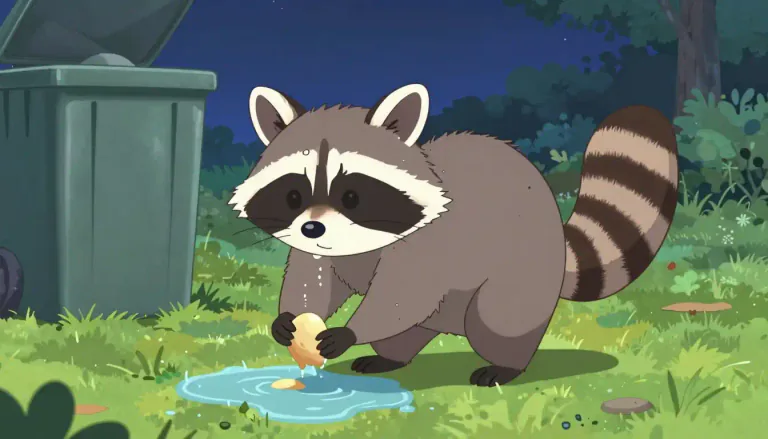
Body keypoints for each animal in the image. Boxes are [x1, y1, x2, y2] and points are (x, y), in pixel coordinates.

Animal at [229, 83, 678, 386]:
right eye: (292, 195)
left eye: (352, 196)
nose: (312, 228)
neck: (358, 243)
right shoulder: (318, 249)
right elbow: (314, 280)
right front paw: (288, 318)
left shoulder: (430, 244)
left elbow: (399, 297)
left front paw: (349, 332)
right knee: (409, 332)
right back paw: (391, 358)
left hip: (524, 270)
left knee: (497, 321)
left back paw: (506, 364)